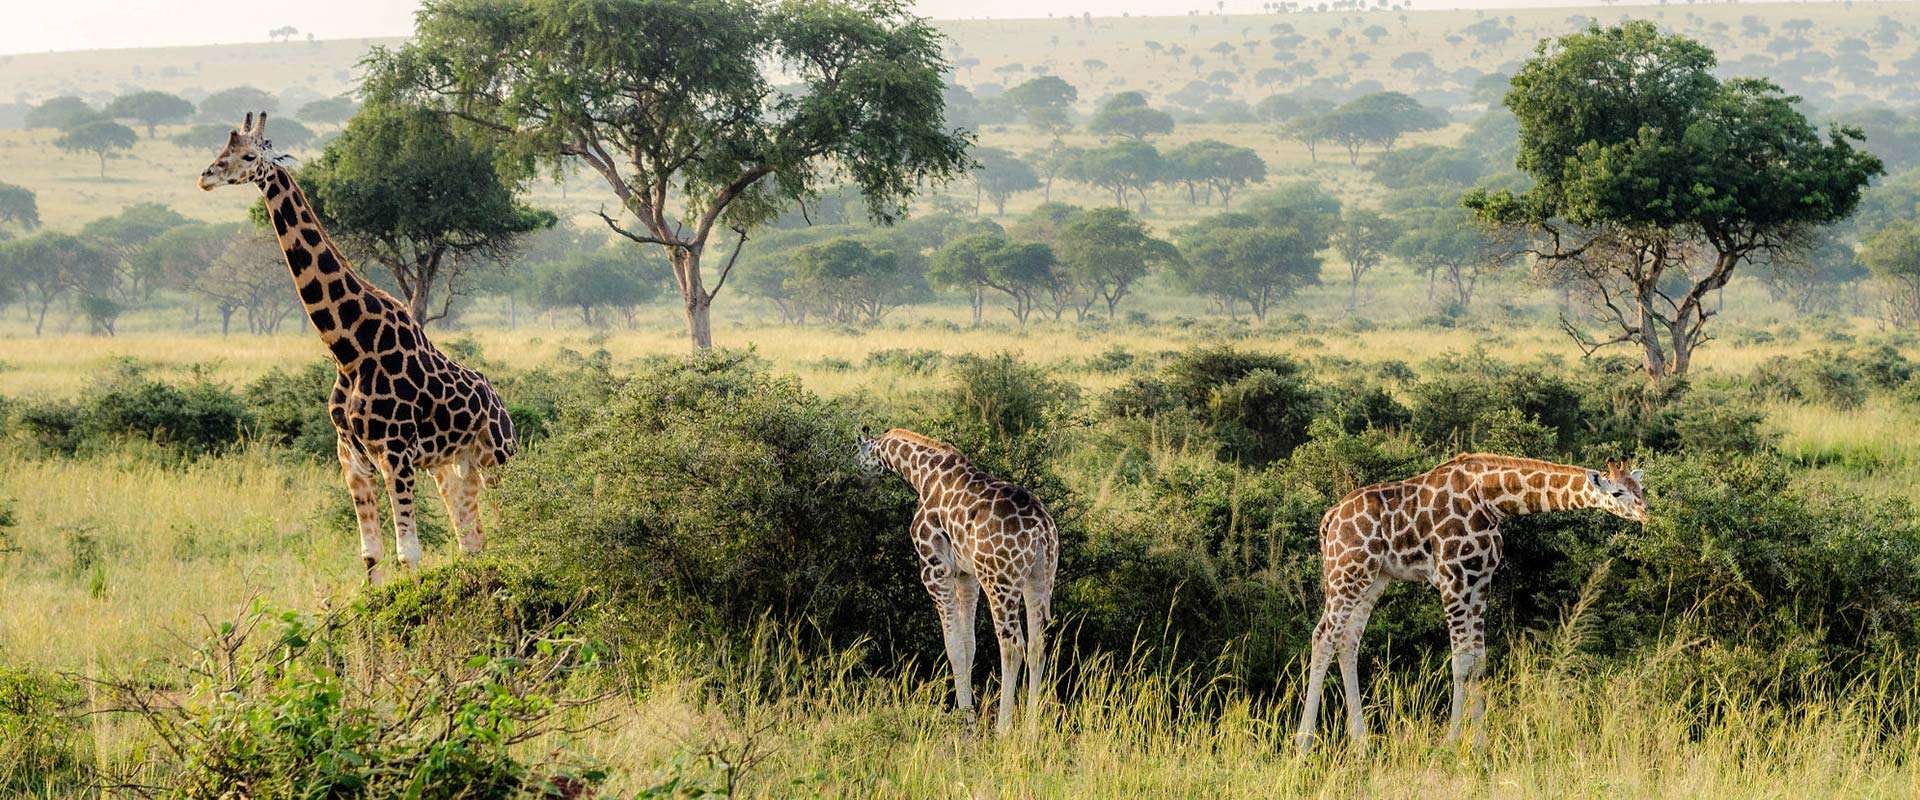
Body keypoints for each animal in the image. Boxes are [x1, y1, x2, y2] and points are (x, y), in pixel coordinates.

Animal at [197, 112, 516, 583]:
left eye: (249, 156)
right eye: (223, 149)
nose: (206, 176)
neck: (349, 349)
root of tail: (500, 402)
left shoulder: (396, 454)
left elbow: (408, 554)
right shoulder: (352, 458)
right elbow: (371, 554)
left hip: (497, 457)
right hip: (451, 467)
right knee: (471, 539)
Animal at [856, 428, 1059, 733]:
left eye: (855, 453)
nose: (858, 480)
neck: (922, 473)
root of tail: (1041, 531)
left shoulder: (935, 568)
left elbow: (953, 647)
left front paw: (966, 725)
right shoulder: (967, 576)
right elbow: (968, 644)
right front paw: (969, 720)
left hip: (1000, 581)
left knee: (1012, 647)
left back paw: (1003, 730)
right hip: (1040, 580)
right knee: (1038, 646)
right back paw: (1031, 732)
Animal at [1294, 453, 1647, 753]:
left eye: (1640, 488)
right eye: (1617, 492)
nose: (1646, 513)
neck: (1492, 500)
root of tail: (1328, 520)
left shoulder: (1480, 581)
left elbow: (1478, 661)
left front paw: (1479, 745)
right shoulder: (1454, 576)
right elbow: (1461, 663)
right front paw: (1451, 744)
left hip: (1373, 577)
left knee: (1347, 641)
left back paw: (1361, 743)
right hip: (1347, 570)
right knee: (1323, 636)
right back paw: (1304, 744)